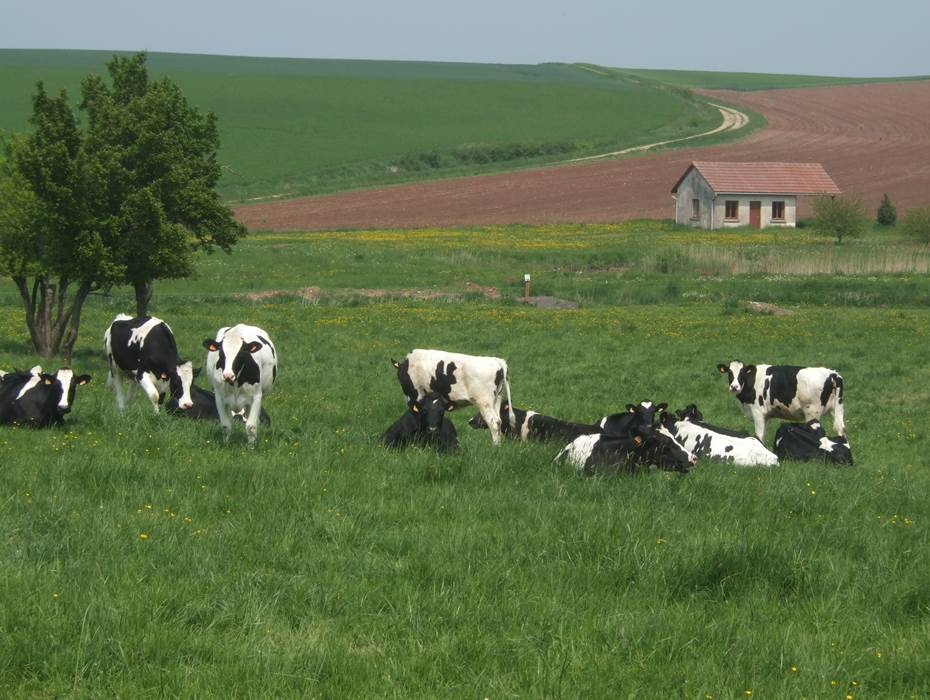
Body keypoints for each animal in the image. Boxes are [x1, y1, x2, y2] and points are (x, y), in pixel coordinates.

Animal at [717, 361, 846, 442]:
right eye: (729, 373)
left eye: (742, 373)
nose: (734, 386)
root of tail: (832, 373)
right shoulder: (765, 415)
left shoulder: (758, 412)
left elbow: (759, 435)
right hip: (835, 409)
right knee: (841, 429)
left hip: (812, 412)